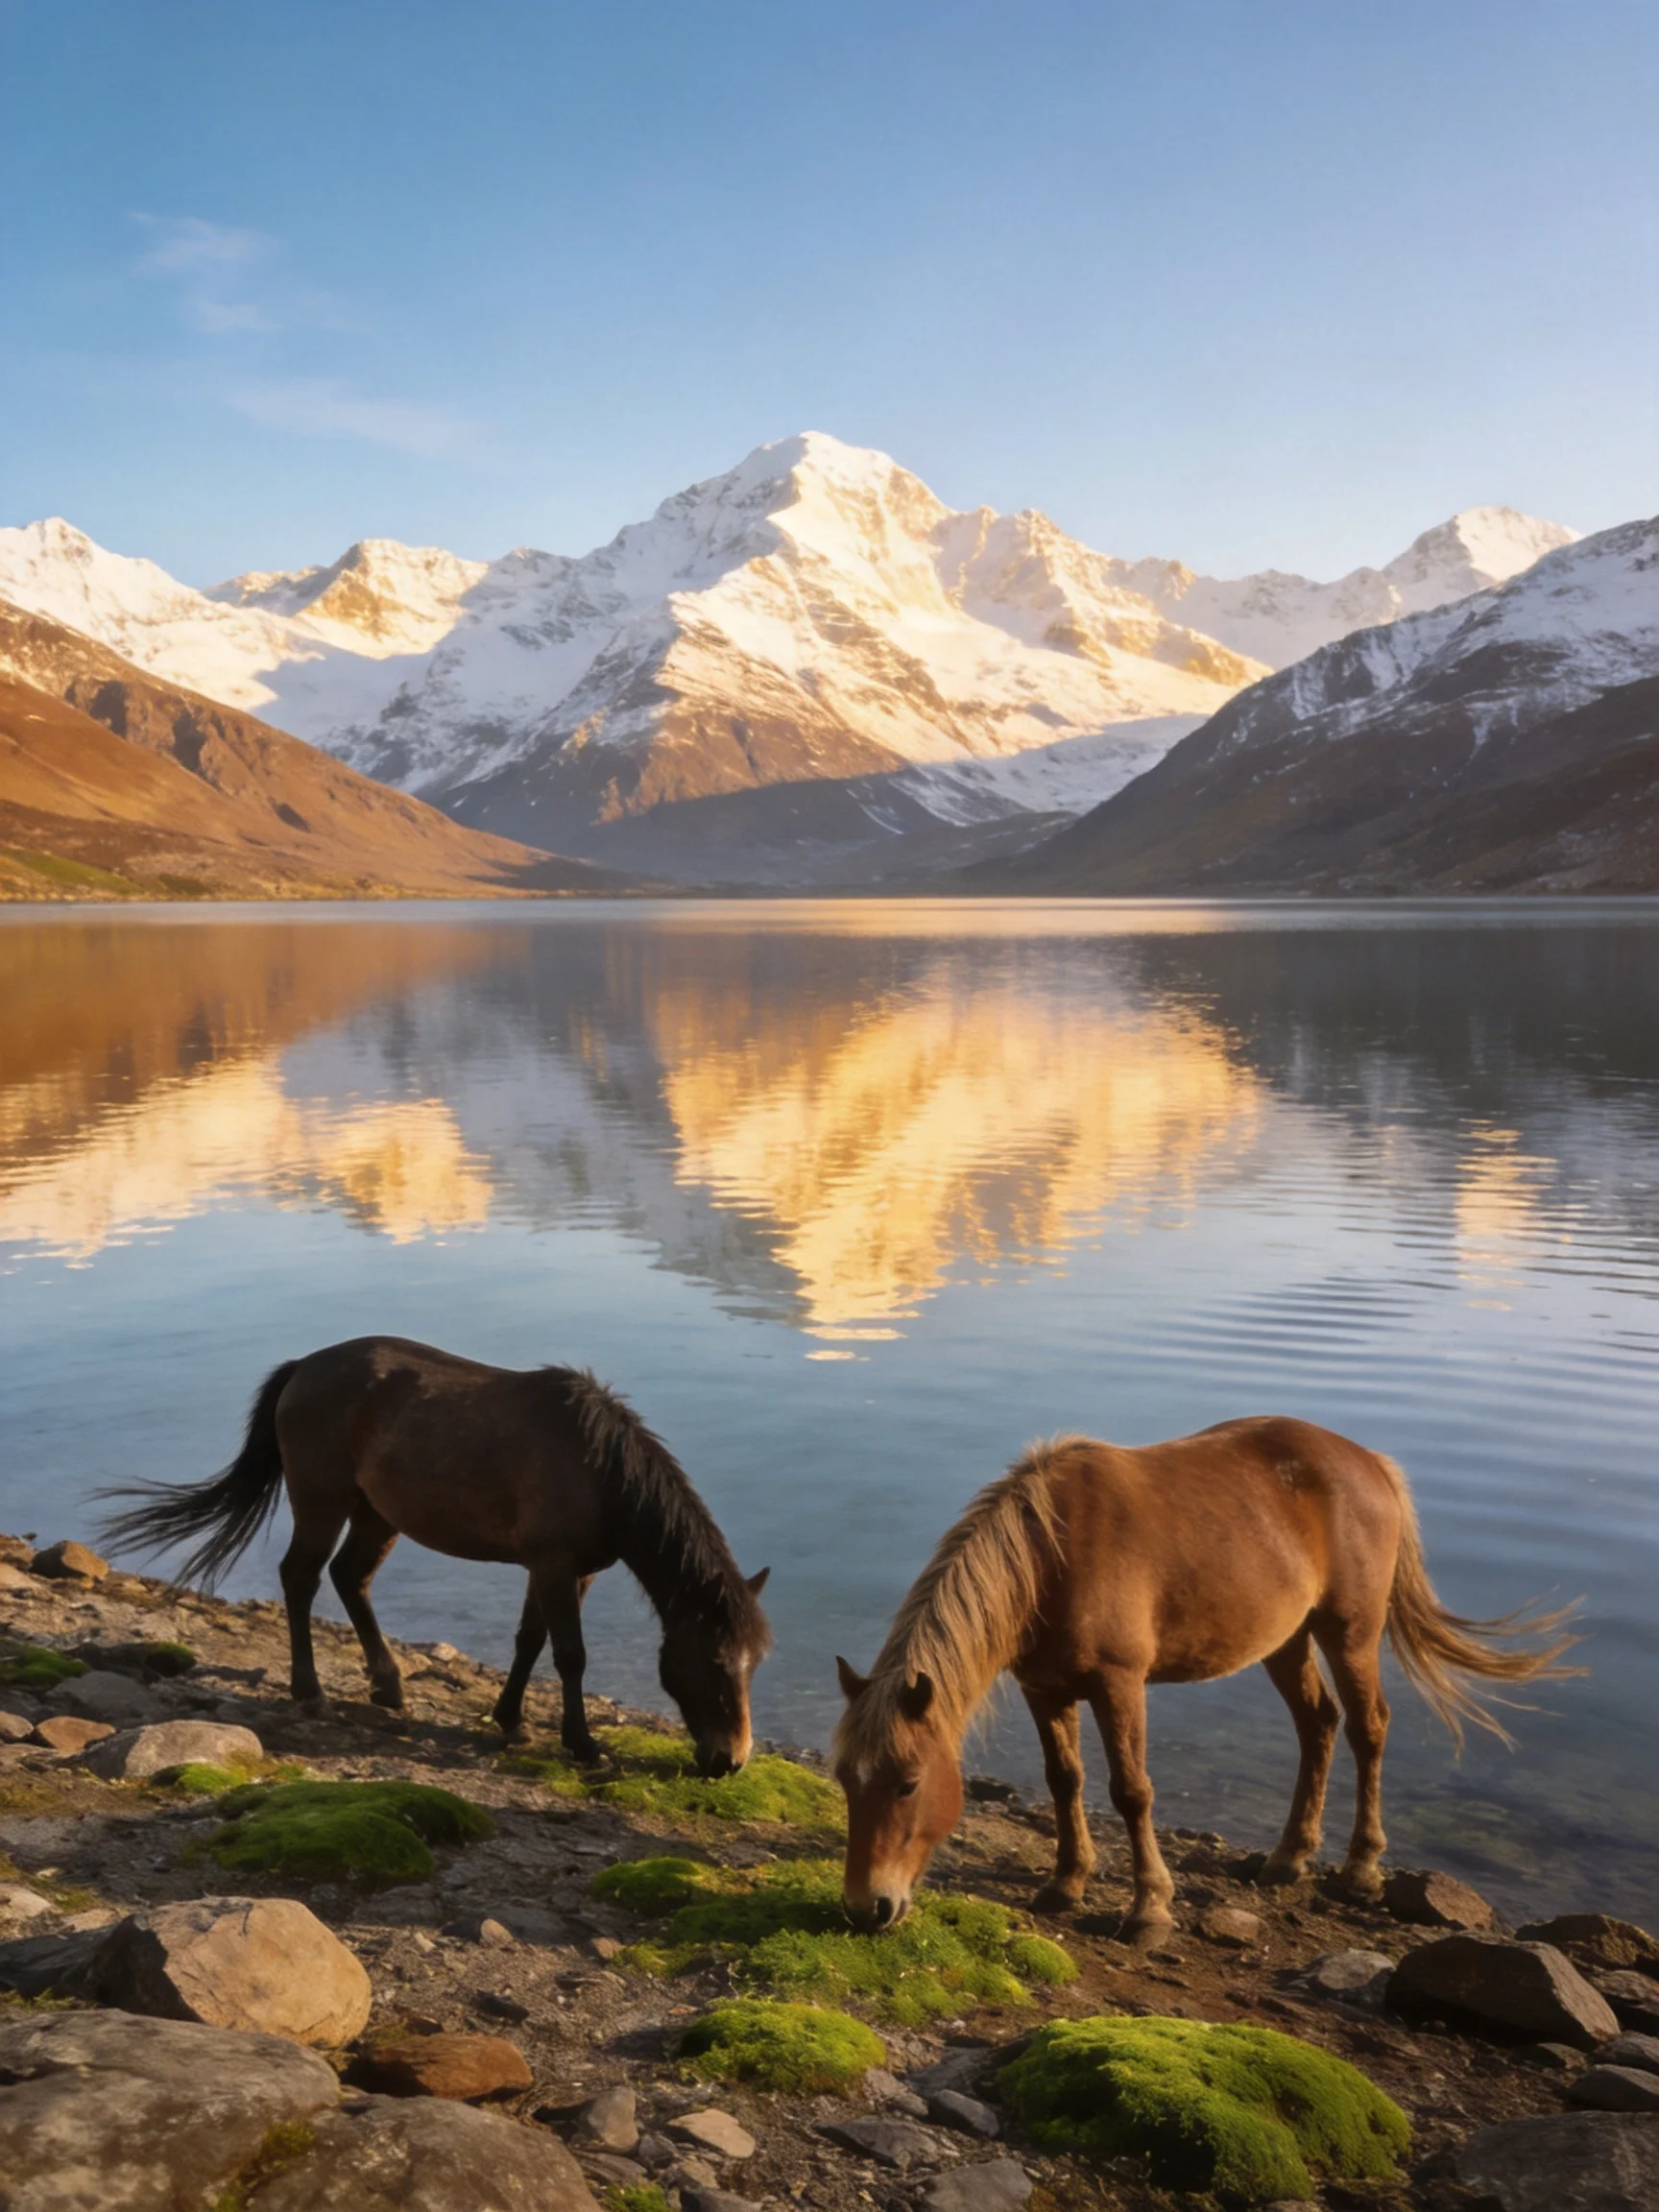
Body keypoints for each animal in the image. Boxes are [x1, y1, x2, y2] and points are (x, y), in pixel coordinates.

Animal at [102, 1337, 772, 1776]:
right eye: (714, 1662)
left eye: (755, 1665)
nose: (730, 1761)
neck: (601, 1473)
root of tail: (301, 1369)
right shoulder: (555, 1566)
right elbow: (570, 1656)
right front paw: (581, 1745)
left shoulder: (565, 1571)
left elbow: (529, 1641)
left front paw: (509, 1718)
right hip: (322, 1502)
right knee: (301, 1578)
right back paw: (311, 1690)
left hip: (377, 1515)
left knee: (349, 1578)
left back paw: (388, 1685)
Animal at [833, 1418, 1579, 1941]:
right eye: (845, 1781)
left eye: (907, 1784)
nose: (868, 1908)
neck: (1052, 1557)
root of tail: (1370, 1463)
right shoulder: (1044, 1689)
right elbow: (1064, 1780)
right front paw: (1067, 1883)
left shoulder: (1119, 1684)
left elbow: (1130, 1791)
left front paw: (1148, 1911)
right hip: (1285, 1640)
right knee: (1319, 1725)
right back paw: (1288, 1858)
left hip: (1350, 1633)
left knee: (1368, 1730)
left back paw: (1361, 1869)